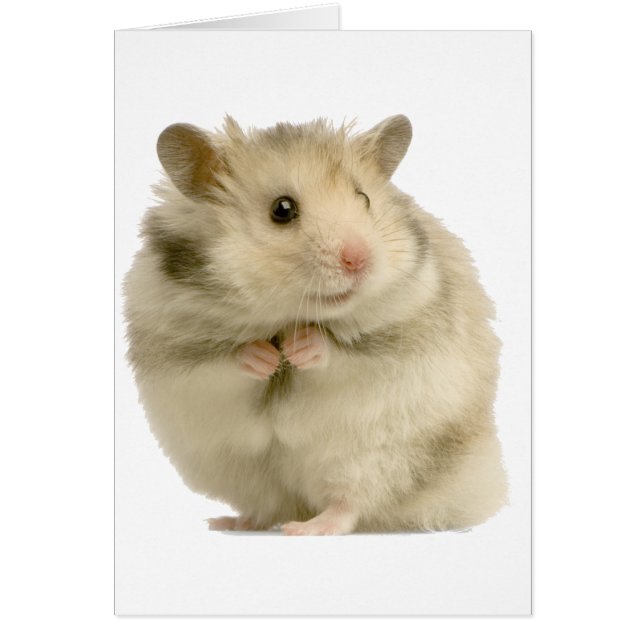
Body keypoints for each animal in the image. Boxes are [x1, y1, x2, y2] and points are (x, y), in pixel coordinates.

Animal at [123, 114, 508, 535]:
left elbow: (341, 354)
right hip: (239, 471)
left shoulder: (401, 337)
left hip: (375, 459)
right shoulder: (175, 354)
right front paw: (265, 357)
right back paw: (231, 522)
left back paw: (306, 528)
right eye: (282, 209)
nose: (360, 259)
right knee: (267, 506)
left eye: (364, 198)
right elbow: (224, 362)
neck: (285, 316)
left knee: (349, 505)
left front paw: (298, 348)